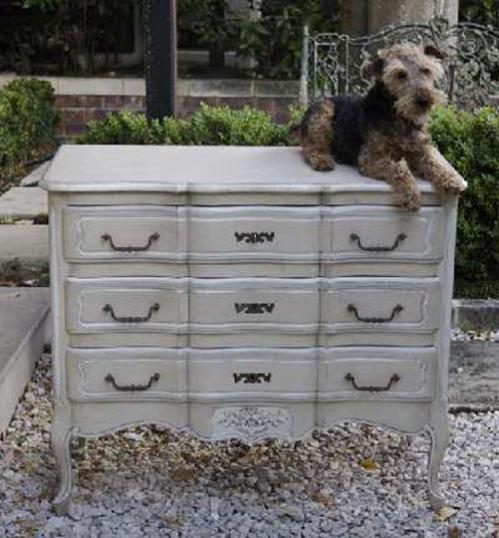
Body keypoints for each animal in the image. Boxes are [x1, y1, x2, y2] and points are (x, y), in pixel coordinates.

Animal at [300, 42, 468, 208]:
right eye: (400, 74)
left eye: (426, 70)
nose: (424, 100)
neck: (400, 118)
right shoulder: (370, 158)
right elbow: (399, 168)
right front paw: (410, 193)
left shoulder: (420, 149)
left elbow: (434, 162)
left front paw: (450, 179)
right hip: (323, 112)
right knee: (309, 147)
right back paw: (321, 159)